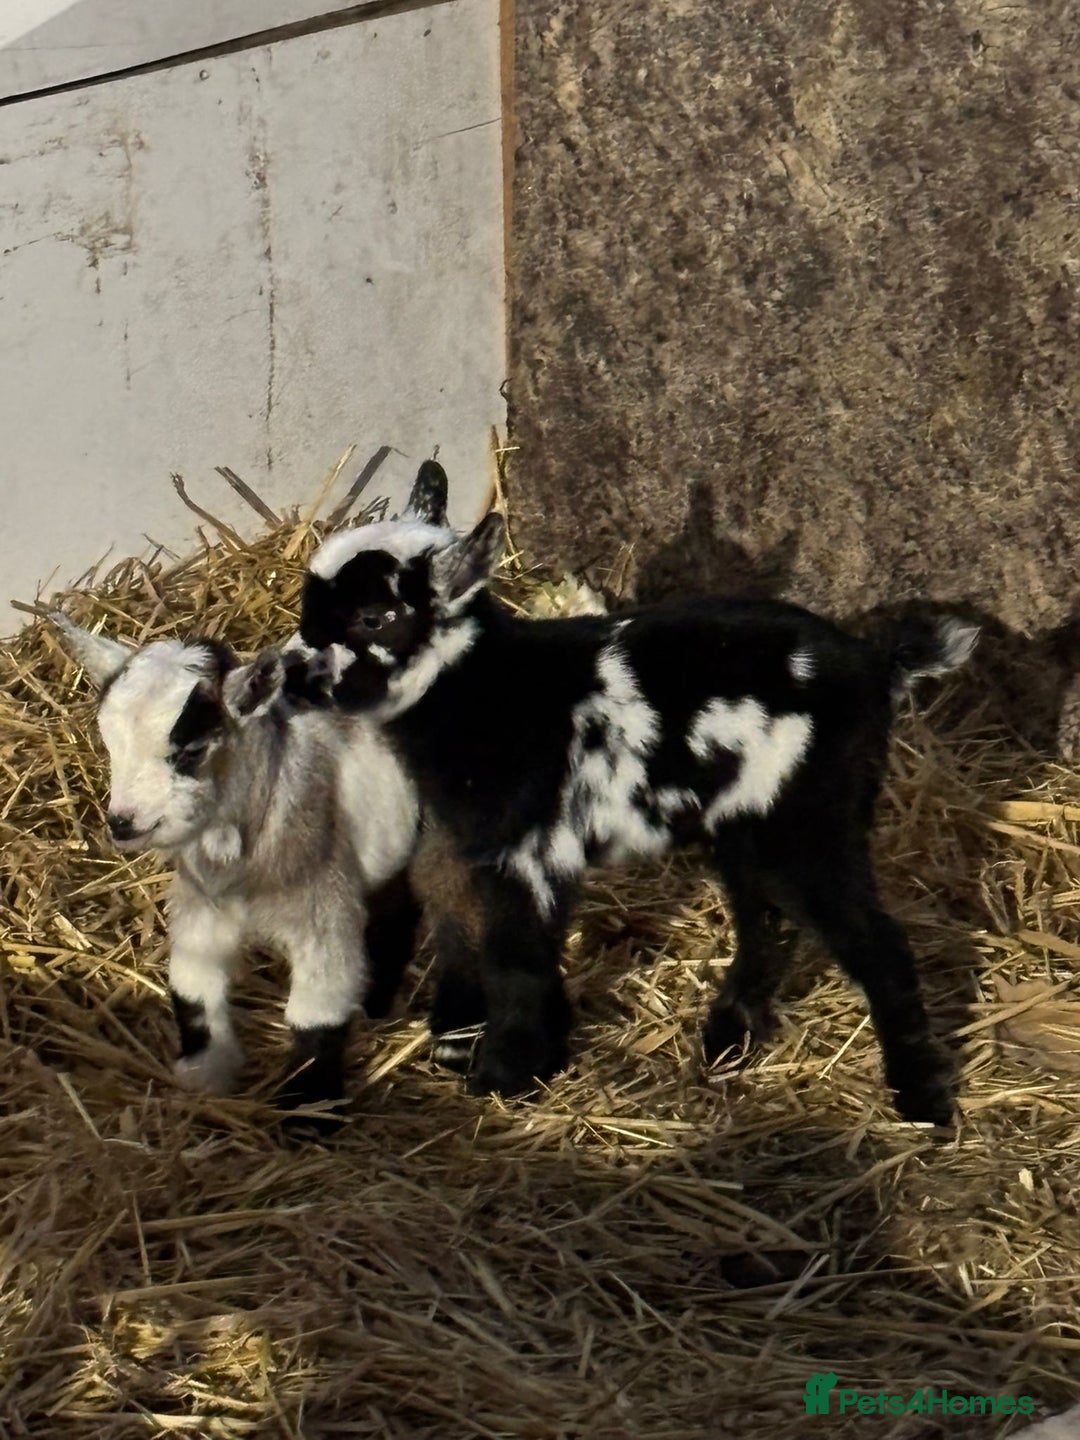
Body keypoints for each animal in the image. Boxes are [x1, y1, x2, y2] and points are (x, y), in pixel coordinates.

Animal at [53, 617, 420, 1119]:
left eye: (191, 751)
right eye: (109, 744)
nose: (123, 824)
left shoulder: (324, 902)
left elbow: (318, 1008)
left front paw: (309, 1109)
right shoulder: (204, 902)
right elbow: (192, 985)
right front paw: (205, 1073)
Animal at [279, 464, 977, 1124]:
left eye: (373, 618)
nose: (288, 670)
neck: (491, 689)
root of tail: (875, 665)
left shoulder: (529, 850)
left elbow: (514, 958)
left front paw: (505, 1075)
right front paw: (539, 1054)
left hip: (810, 814)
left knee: (873, 941)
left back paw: (921, 1101)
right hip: (748, 823)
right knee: (764, 919)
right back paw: (727, 1038)